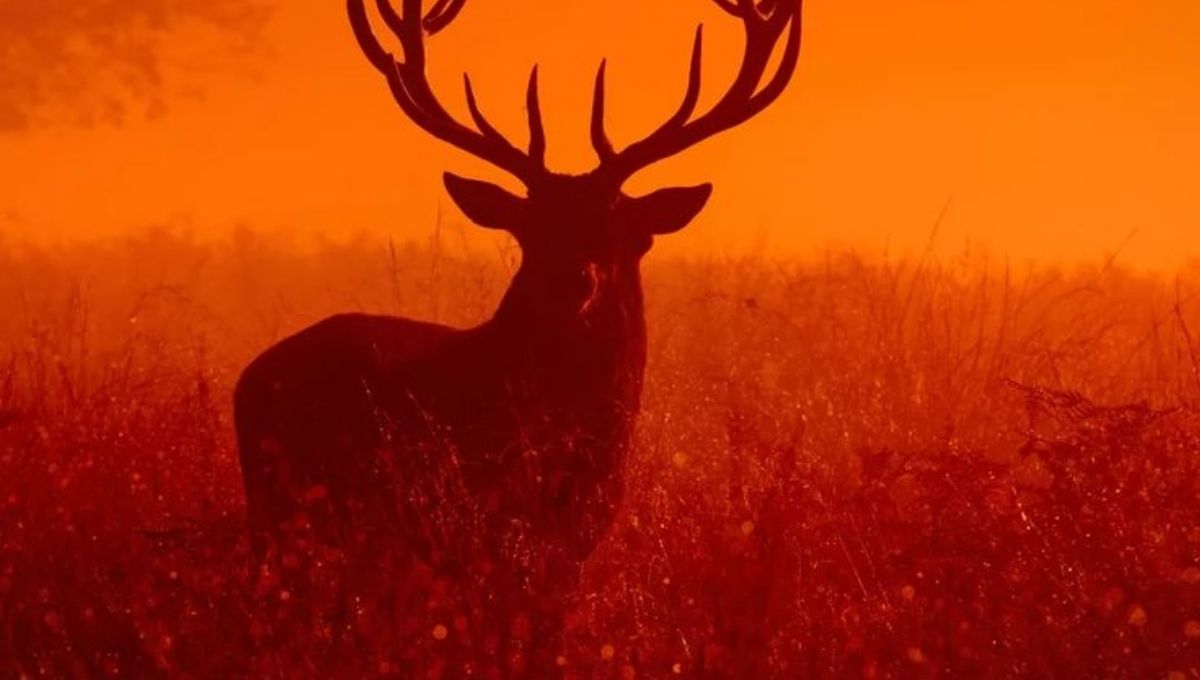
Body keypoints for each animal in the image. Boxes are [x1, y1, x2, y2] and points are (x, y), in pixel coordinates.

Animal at [234, 0, 803, 668]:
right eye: (531, 228)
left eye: (622, 228)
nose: (573, 279)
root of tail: (248, 378)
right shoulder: (477, 528)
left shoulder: (574, 541)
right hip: (282, 510)